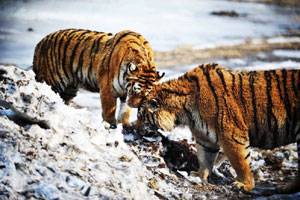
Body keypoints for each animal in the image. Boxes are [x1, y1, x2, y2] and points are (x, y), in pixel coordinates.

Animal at [32, 28, 164, 128]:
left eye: (145, 94)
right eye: (136, 90)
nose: (135, 106)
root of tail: (40, 43)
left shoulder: (125, 93)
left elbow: (124, 110)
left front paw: (124, 124)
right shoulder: (108, 88)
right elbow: (109, 109)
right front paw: (110, 124)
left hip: (69, 90)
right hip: (51, 81)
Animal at [138, 63, 300, 193]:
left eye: (141, 116)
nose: (136, 128)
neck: (185, 111)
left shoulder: (232, 135)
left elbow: (241, 162)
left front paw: (245, 185)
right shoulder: (204, 138)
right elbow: (205, 159)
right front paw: (199, 175)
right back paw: (286, 187)